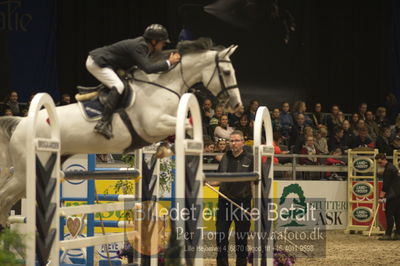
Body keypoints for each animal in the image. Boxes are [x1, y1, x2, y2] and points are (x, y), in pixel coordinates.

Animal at [0, 38, 241, 225]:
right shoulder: (154, 124)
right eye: (227, 72)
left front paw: (163, 149)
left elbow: (182, 129)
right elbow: (187, 126)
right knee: (4, 198)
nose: (236, 106)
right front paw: (168, 149)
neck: (163, 86)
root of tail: (21, 123)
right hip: (25, 172)